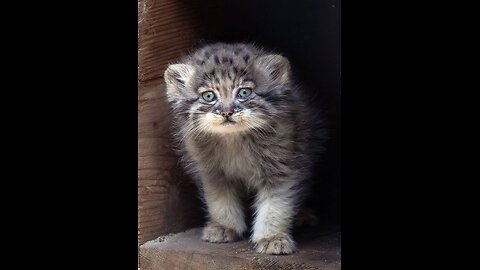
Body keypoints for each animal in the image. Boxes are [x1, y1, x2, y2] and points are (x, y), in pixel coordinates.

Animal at [163, 43, 324, 254]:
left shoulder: (281, 168)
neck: (234, 141)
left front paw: (272, 237)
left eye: (244, 92)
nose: (227, 112)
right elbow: (220, 201)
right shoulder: (212, 172)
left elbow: (276, 205)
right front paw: (224, 226)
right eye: (208, 96)